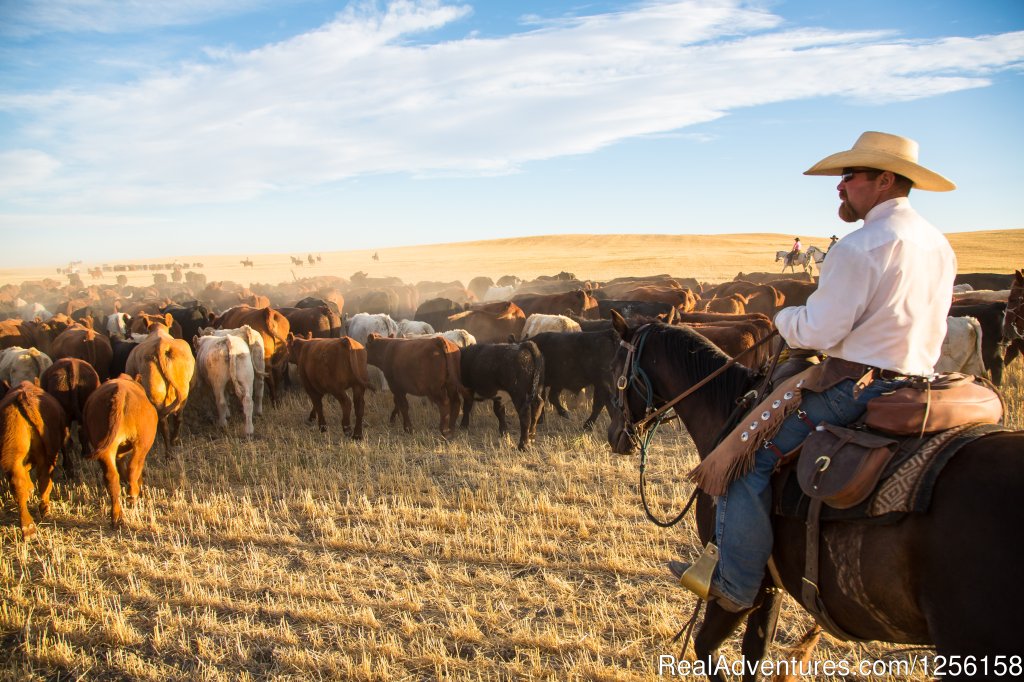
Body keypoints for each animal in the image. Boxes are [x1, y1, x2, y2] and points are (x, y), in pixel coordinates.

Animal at [81, 372, 158, 524]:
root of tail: (120, 390)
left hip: (105, 449)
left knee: (111, 477)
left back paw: (116, 517)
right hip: (141, 444)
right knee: (134, 467)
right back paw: (132, 497)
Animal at [124, 317, 194, 448]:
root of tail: (161, 345)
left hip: (155, 392)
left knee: (163, 424)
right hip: (182, 392)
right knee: (177, 418)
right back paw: (173, 441)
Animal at [606, 311, 1024, 675]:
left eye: (615, 371)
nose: (615, 436)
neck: (729, 411)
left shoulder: (738, 582)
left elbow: (706, 647)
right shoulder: (771, 584)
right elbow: (755, 654)